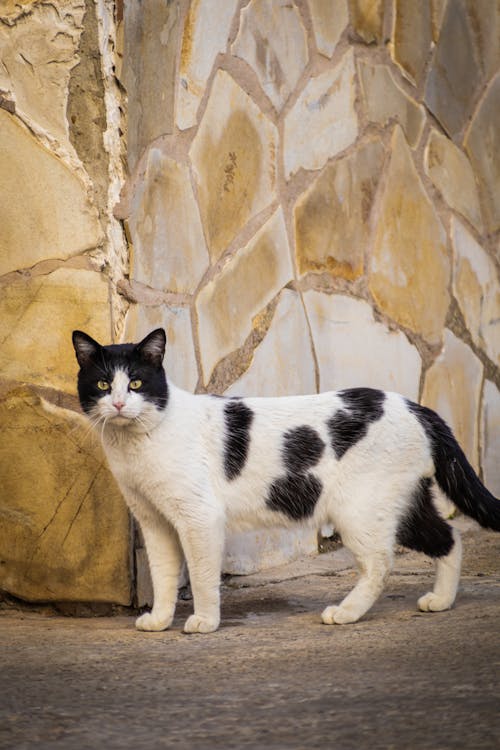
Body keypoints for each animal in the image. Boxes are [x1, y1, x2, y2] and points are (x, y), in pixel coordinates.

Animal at [71, 328, 500, 636]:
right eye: (103, 385)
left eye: (137, 384)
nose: (119, 404)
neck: (135, 444)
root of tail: (415, 406)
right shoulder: (154, 521)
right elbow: (162, 576)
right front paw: (160, 620)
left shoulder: (199, 518)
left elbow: (202, 575)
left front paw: (205, 622)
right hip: (403, 504)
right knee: (449, 537)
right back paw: (441, 601)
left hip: (360, 511)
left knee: (380, 563)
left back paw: (346, 612)